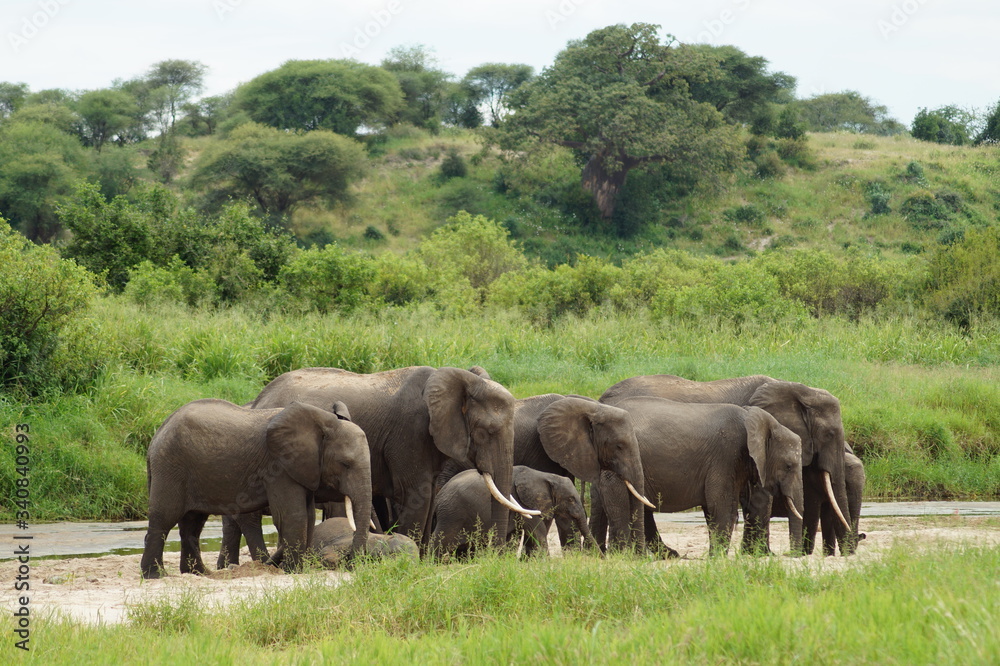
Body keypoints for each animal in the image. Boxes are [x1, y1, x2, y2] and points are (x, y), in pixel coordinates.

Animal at [141, 400, 372, 576]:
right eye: (345, 464)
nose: (352, 565)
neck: (322, 422)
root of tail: (158, 433)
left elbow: (309, 516)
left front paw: (299, 569)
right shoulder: (279, 468)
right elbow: (293, 515)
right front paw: (293, 571)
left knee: (192, 523)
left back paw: (197, 573)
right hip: (170, 466)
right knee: (164, 518)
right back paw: (155, 575)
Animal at [250, 366, 532, 548]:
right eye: (487, 432)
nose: (496, 555)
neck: (463, 380)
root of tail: (258, 399)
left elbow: (429, 497)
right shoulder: (410, 432)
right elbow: (417, 495)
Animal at [432, 464, 600, 556]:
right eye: (570, 499)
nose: (602, 558)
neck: (545, 475)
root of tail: (438, 499)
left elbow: (514, 536)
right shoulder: (522, 502)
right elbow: (537, 530)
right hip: (452, 514)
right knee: (440, 541)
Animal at [600, 374, 852, 556]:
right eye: (829, 434)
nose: (849, 554)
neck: (797, 389)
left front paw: (755, 554)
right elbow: (760, 497)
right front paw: (761, 555)